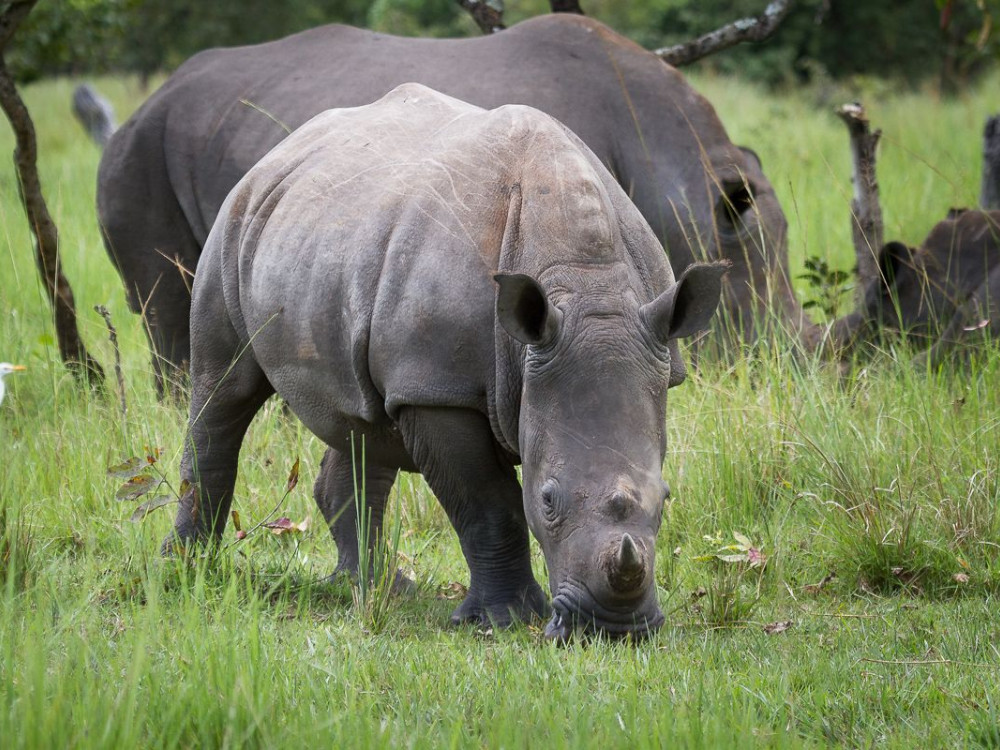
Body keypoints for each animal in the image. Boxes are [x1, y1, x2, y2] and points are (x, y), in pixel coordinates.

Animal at [98, 13, 809, 396]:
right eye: (758, 339)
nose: (799, 378)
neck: (684, 175)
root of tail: (143, 105)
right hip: (138, 156)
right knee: (168, 308)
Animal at [169, 84, 727, 638]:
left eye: (666, 496)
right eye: (547, 500)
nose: (613, 629)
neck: (586, 285)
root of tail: (283, 149)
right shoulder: (437, 388)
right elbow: (488, 504)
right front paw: (503, 620)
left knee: (363, 422)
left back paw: (378, 589)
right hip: (236, 219)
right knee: (223, 388)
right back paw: (189, 568)